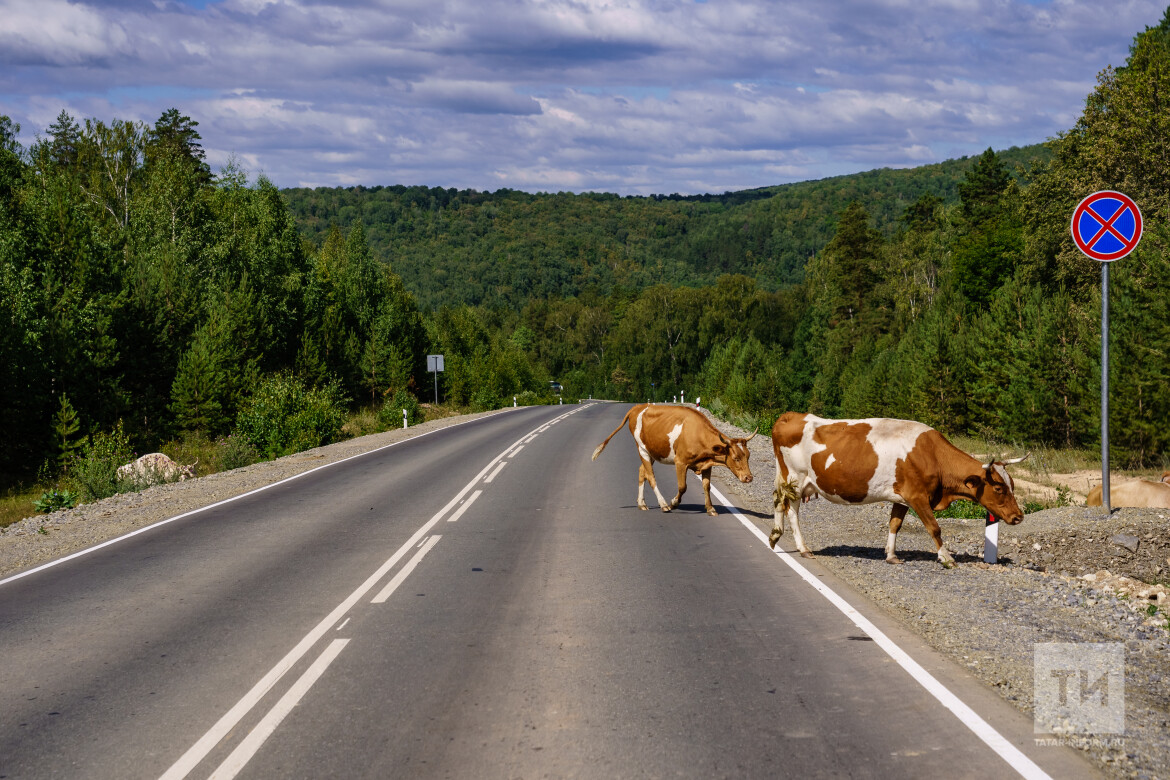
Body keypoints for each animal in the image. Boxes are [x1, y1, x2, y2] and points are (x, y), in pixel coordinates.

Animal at [594, 402, 758, 519]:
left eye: (748, 456)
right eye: (736, 458)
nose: (749, 478)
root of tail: (637, 407)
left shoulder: (707, 465)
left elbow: (706, 486)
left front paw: (711, 508)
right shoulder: (680, 462)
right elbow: (682, 487)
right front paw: (674, 503)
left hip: (651, 452)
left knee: (642, 472)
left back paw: (641, 503)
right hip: (642, 449)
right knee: (651, 477)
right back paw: (663, 504)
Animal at [772, 413, 1029, 568]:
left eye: (1013, 485)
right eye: (998, 487)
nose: (1018, 516)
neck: (932, 454)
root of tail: (791, 415)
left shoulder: (902, 497)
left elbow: (895, 524)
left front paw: (892, 555)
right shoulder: (918, 496)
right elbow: (934, 528)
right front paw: (946, 557)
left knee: (780, 504)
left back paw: (778, 537)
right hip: (795, 478)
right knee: (789, 509)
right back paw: (797, 545)